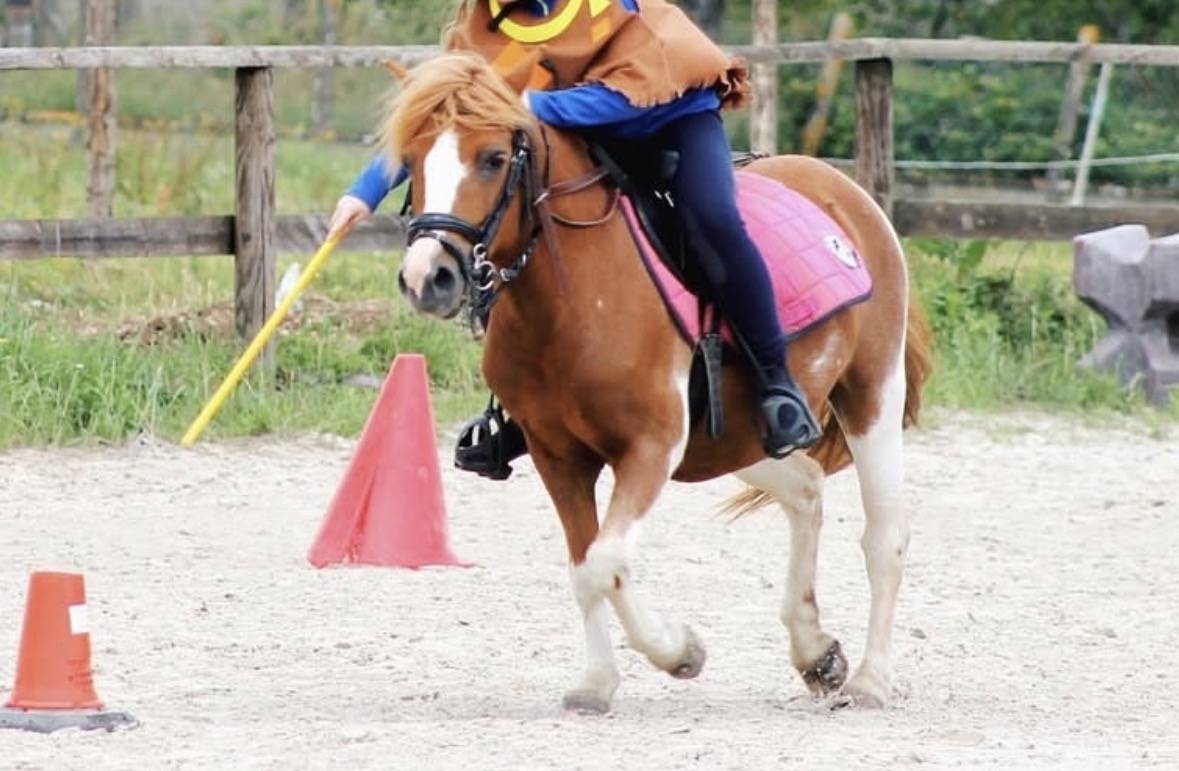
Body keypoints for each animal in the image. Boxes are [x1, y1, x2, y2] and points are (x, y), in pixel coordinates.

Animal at [388, 52, 932, 712]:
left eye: (493, 158)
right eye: (411, 159)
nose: (428, 278)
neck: (571, 304)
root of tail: (847, 191)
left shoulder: (650, 447)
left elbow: (607, 560)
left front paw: (680, 653)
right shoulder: (556, 455)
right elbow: (584, 567)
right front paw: (597, 683)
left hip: (870, 394)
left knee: (885, 535)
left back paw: (871, 681)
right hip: (737, 441)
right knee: (804, 489)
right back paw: (816, 651)